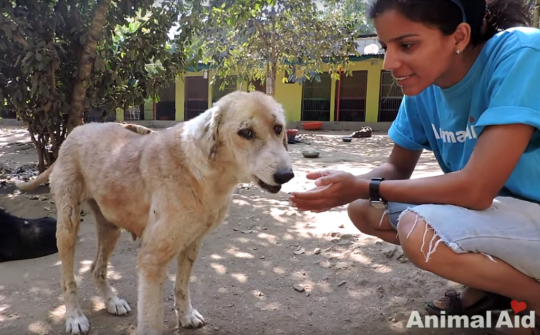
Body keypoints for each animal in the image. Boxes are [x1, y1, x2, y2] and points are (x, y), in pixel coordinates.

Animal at [15, 90, 296, 334]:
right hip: (68, 224)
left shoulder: (192, 243)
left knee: (96, 268)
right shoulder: (152, 259)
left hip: (110, 227)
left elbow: (182, 287)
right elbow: (151, 319)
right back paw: (75, 317)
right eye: (245, 132)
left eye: (278, 128)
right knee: (67, 278)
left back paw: (112, 301)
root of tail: (78, 130)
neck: (202, 170)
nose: (287, 175)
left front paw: (186, 316)